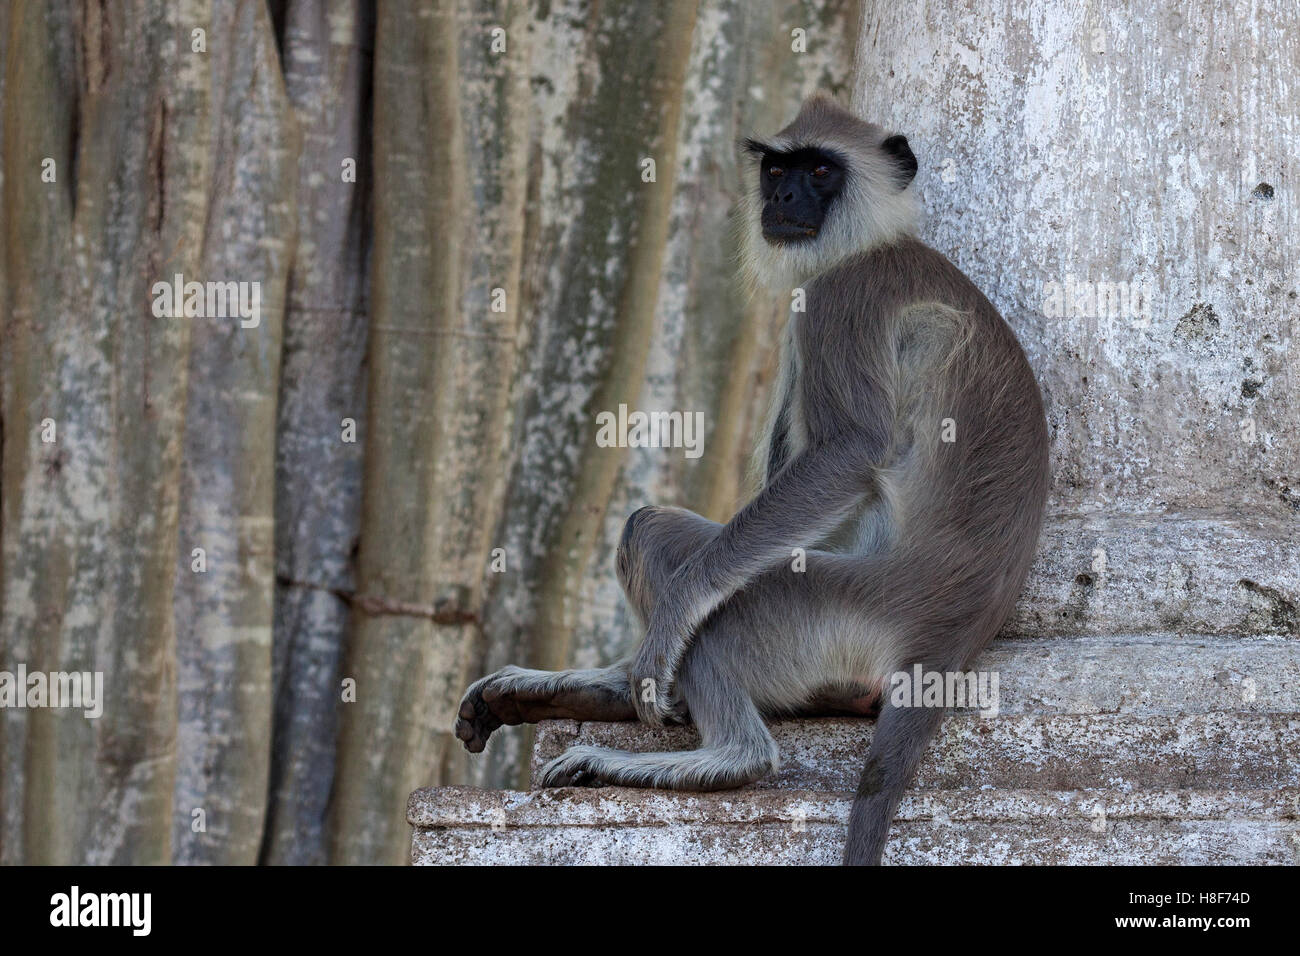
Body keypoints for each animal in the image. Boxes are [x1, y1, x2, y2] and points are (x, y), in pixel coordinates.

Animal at [452, 93, 1050, 863]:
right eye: (776, 169)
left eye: (820, 170)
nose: (784, 197)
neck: (874, 243)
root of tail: (948, 639)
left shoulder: (839, 296)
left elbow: (850, 449)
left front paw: (672, 619)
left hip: (820, 611)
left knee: (666, 547)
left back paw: (719, 754)